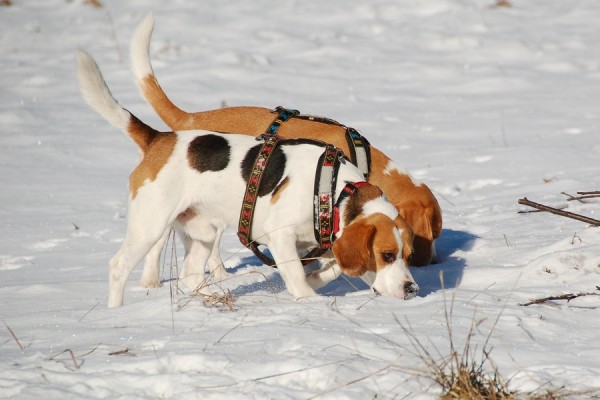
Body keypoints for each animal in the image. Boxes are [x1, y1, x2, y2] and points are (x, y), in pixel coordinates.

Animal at [77, 50, 420, 306]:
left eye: (408, 255)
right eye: (386, 255)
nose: (412, 289)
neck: (336, 191)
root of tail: (159, 138)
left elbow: (330, 268)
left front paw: (316, 280)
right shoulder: (281, 237)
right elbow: (297, 275)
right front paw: (308, 299)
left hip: (203, 230)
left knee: (190, 275)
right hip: (149, 226)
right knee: (119, 267)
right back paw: (117, 312)